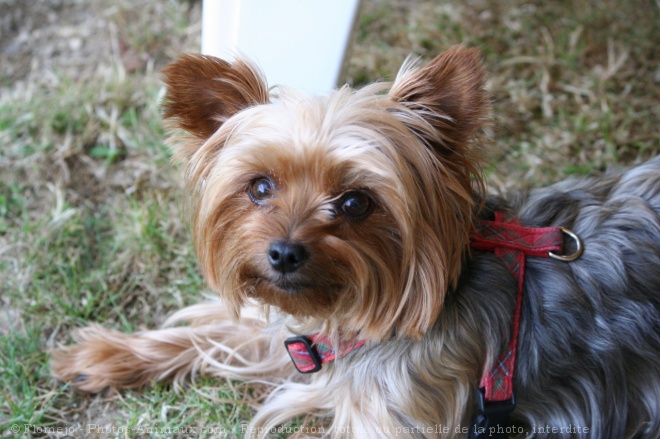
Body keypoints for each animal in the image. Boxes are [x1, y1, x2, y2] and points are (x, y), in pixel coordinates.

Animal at [51, 46, 660, 438]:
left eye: (355, 203)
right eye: (260, 186)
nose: (284, 254)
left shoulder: (400, 415)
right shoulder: (304, 336)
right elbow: (216, 334)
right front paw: (105, 356)